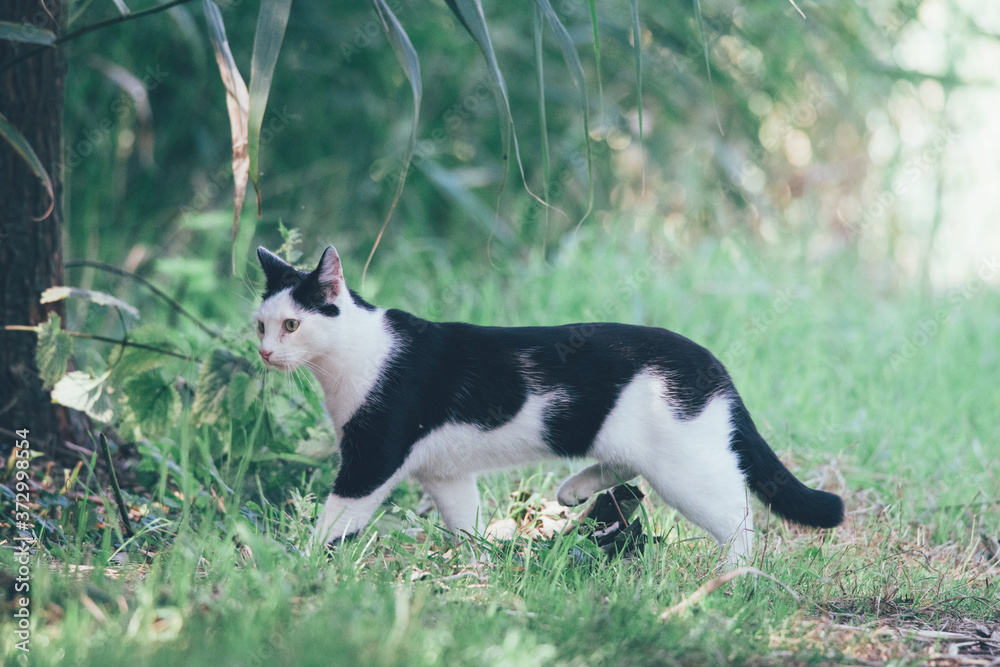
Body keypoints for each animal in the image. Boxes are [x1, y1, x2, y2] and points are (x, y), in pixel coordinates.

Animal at [254, 245, 840, 564]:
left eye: (292, 325)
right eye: (260, 324)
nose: (264, 351)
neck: (356, 354)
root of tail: (711, 362)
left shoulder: (371, 458)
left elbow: (335, 521)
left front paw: (299, 566)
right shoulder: (446, 474)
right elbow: (465, 523)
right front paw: (475, 572)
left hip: (686, 468)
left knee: (739, 516)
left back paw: (734, 577)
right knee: (628, 466)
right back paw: (574, 489)